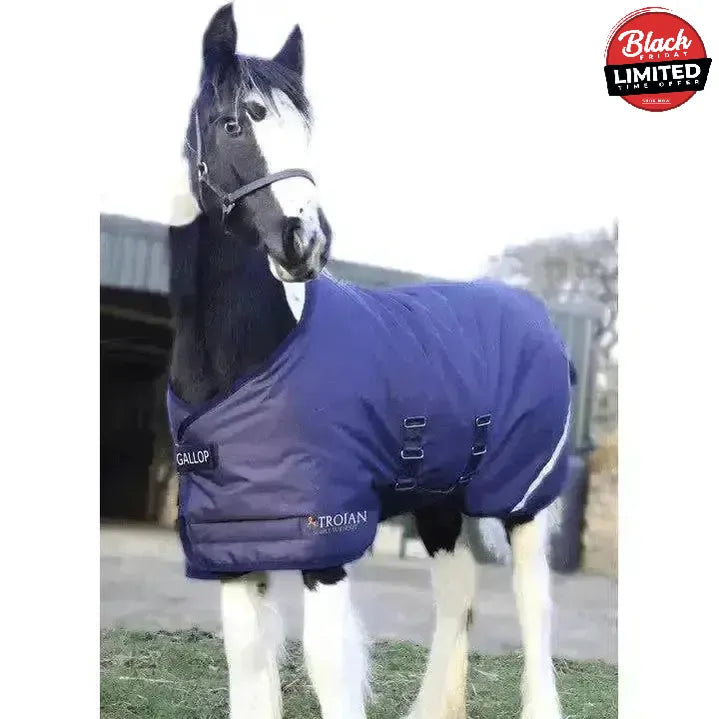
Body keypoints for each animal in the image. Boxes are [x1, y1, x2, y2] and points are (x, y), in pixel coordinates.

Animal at [167, 4, 569, 718]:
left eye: (305, 129)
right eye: (234, 122)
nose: (307, 240)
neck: (248, 364)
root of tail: (534, 314)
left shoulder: (326, 535)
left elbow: (327, 661)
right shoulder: (236, 542)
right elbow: (248, 661)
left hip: (523, 496)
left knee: (533, 605)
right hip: (441, 500)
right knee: (458, 595)